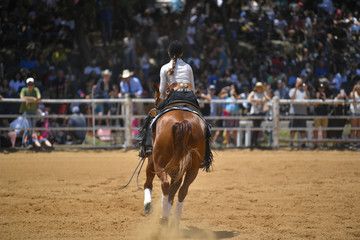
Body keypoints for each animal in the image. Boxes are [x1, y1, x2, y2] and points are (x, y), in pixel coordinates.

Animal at [142, 83, 212, 228]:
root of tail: (183, 122)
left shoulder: (151, 163)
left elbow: (148, 184)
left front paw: (148, 205)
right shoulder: (179, 170)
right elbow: (174, 191)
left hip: (158, 162)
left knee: (165, 185)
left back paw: (163, 219)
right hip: (193, 169)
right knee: (182, 190)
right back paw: (174, 221)